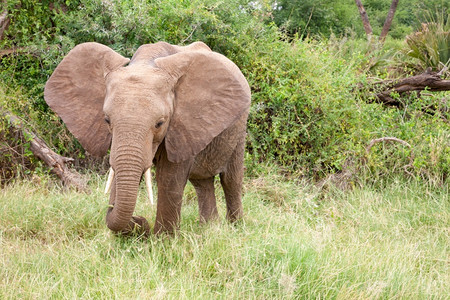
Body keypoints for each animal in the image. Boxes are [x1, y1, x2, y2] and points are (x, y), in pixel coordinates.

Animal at [44, 41, 251, 236]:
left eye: (160, 123)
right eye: (106, 120)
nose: (140, 219)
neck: (145, 62)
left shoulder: (181, 126)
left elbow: (169, 178)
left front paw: (163, 240)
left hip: (240, 125)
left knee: (231, 180)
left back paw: (235, 227)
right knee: (202, 182)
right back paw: (209, 228)